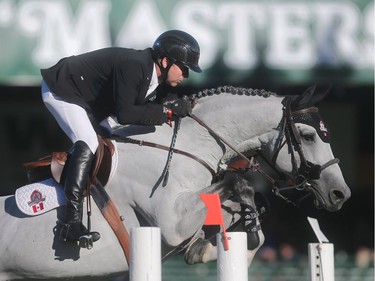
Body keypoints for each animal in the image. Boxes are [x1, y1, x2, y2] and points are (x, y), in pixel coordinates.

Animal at [0, 85, 350, 278]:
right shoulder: (171, 223)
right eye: (308, 135)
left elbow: (243, 211)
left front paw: (226, 241)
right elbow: (240, 185)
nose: (340, 193)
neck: (190, 145)